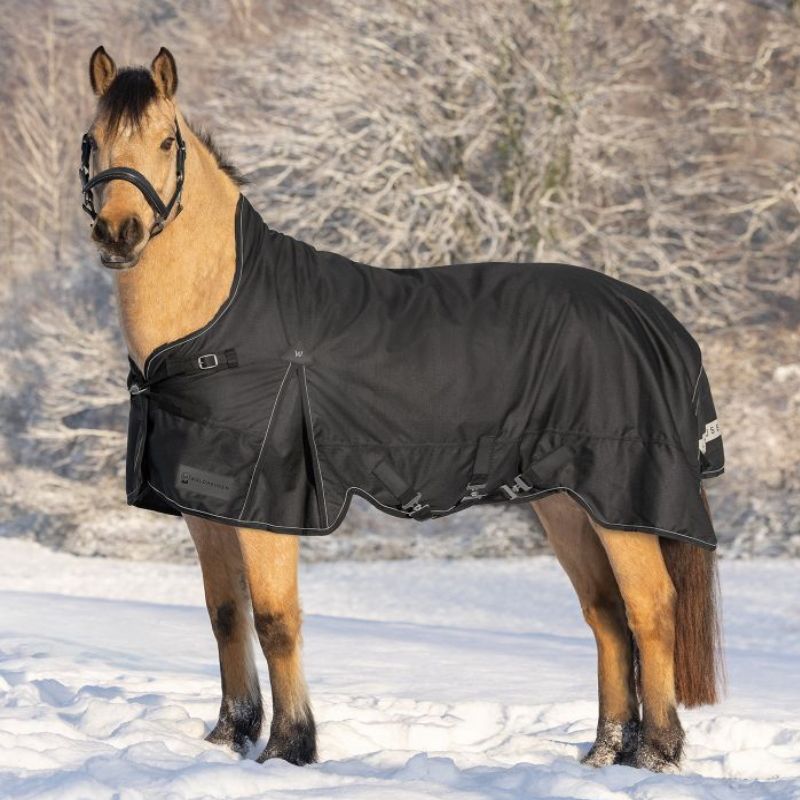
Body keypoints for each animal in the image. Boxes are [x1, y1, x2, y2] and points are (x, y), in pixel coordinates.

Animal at [81, 46, 723, 772]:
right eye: (92, 140)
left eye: (167, 140)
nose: (119, 234)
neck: (221, 320)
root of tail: (658, 320)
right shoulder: (207, 507)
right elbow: (225, 615)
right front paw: (229, 736)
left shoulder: (268, 505)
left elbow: (275, 620)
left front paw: (290, 746)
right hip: (566, 502)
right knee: (607, 615)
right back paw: (605, 751)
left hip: (622, 504)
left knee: (651, 609)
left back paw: (657, 754)